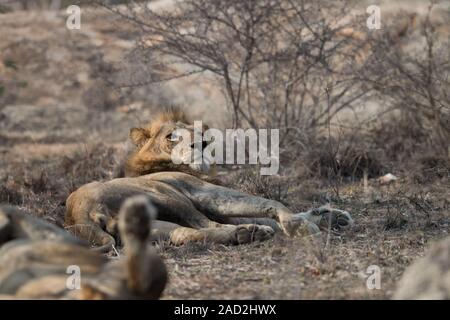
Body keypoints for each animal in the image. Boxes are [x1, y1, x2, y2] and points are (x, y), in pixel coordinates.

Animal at [65, 111, 354, 251]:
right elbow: (268, 204)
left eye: (195, 129)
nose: (202, 143)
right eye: (171, 135)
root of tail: (80, 213)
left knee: (186, 233)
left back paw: (246, 233)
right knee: (205, 223)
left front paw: (331, 215)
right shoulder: (205, 191)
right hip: (171, 198)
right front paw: (304, 223)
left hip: (152, 225)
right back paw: (251, 232)